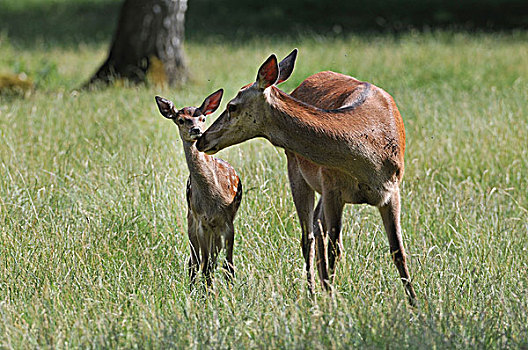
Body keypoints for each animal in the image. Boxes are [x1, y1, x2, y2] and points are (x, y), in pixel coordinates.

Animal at [154, 89, 242, 288]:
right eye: (181, 119)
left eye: (202, 118)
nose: (196, 130)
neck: (213, 198)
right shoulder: (201, 220)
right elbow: (205, 264)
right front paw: (207, 292)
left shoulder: (228, 221)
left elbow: (228, 264)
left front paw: (231, 289)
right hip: (191, 220)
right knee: (195, 261)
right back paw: (194, 286)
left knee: (212, 258)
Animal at [196, 49, 414, 304]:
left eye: (232, 106)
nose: (202, 139)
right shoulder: (332, 186)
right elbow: (334, 247)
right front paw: (332, 300)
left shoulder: (392, 190)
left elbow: (398, 250)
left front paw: (415, 302)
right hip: (296, 169)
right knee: (308, 236)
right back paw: (313, 292)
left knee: (316, 228)